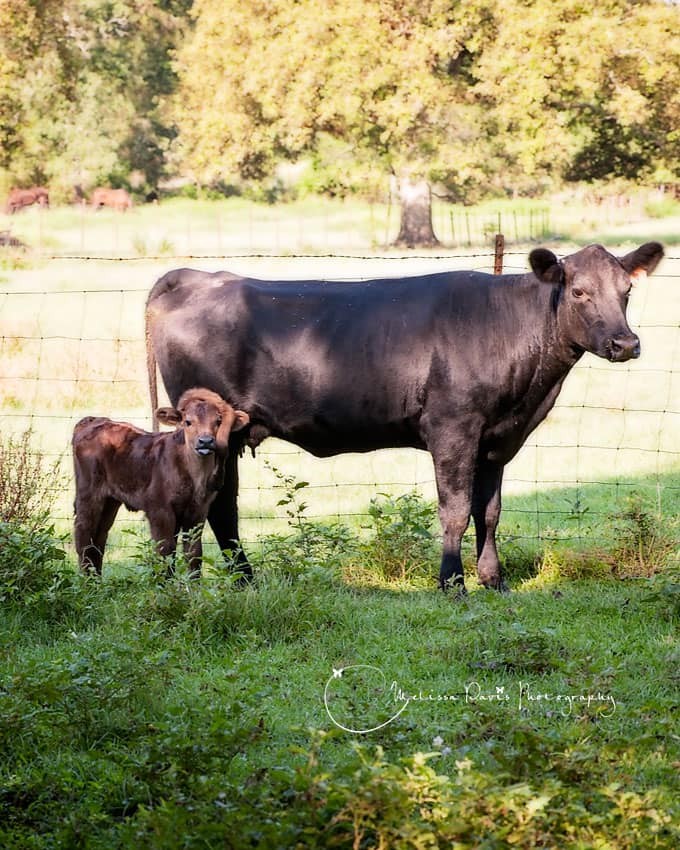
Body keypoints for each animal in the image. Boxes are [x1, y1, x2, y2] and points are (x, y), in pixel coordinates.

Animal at [70, 386, 250, 572]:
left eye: (218, 421)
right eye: (188, 422)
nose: (205, 441)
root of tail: (92, 420)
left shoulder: (198, 512)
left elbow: (194, 554)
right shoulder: (159, 511)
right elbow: (165, 552)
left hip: (110, 500)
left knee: (99, 539)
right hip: (88, 494)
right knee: (83, 535)